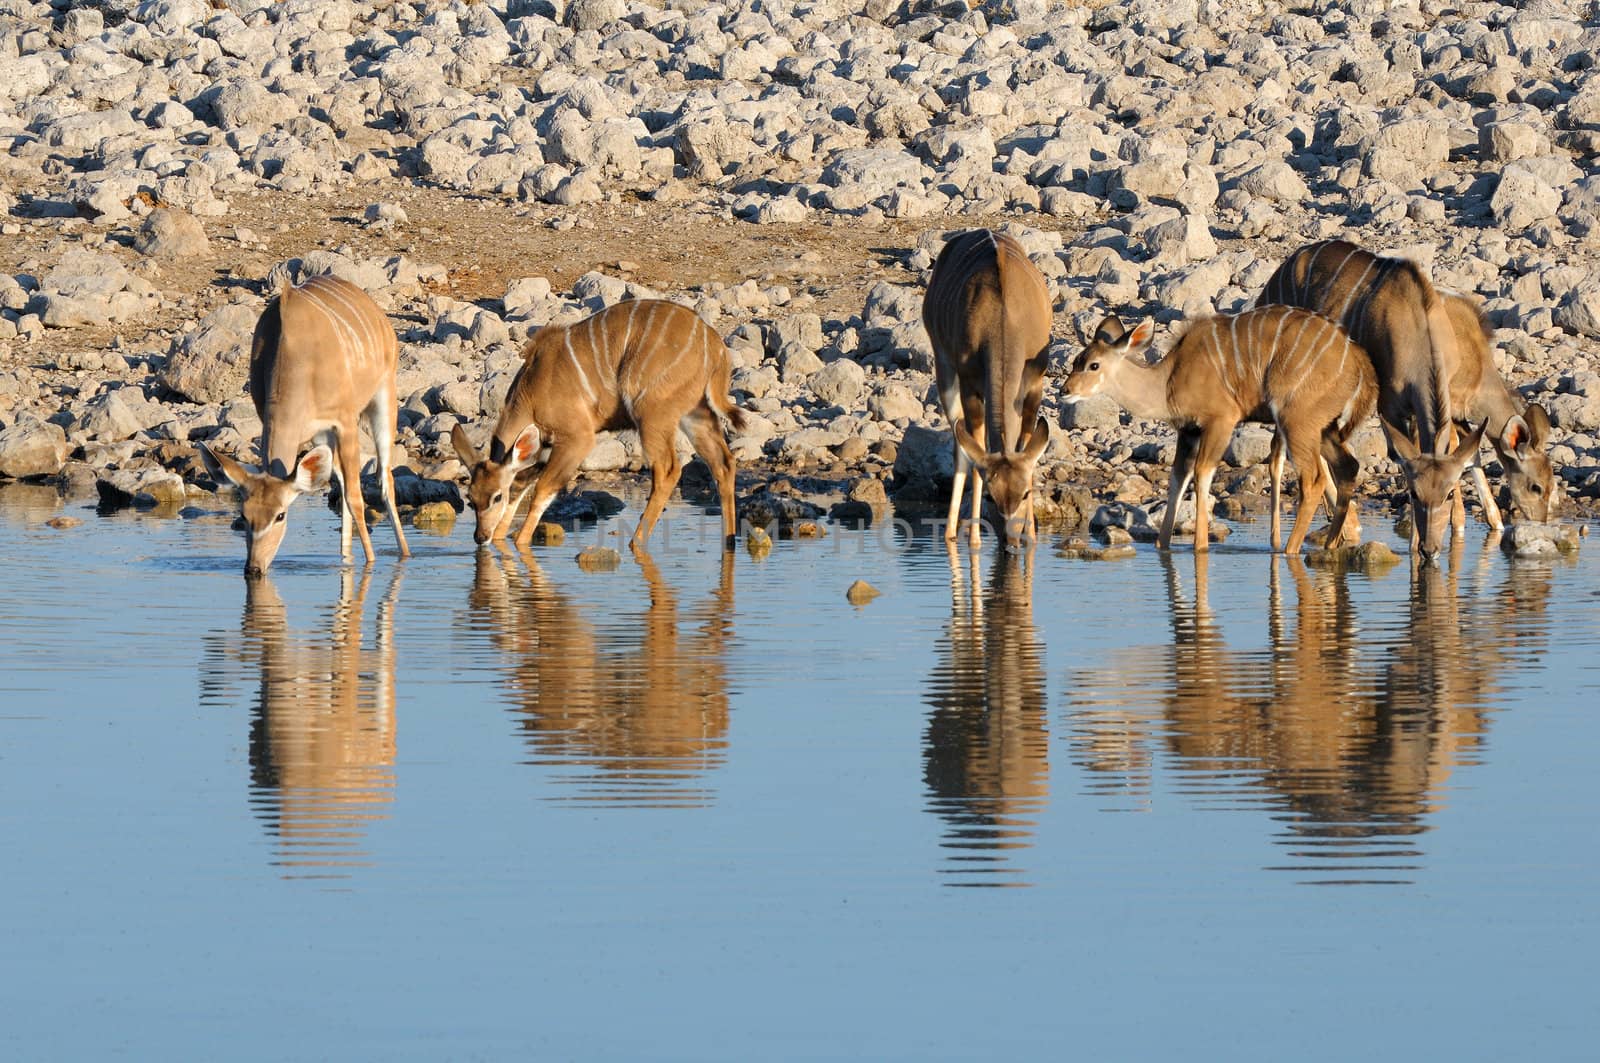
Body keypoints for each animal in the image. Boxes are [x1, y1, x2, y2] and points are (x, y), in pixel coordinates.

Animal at [199, 270, 409, 576]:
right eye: (244, 515)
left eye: (280, 515)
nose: (253, 568)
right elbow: (344, 489)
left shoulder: (345, 421)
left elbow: (356, 498)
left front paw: (370, 563)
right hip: (322, 436)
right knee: (342, 481)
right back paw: (345, 557)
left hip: (384, 396)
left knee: (384, 478)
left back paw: (404, 554)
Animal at [451, 296, 742, 547]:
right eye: (471, 499)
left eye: (495, 496)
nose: (480, 537)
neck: (533, 390)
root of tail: (715, 346)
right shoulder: (543, 450)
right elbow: (520, 486)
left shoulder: (577, 437)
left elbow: (542, 491)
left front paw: (519, 542)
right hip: (695, 412)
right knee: (723, 463)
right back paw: (729, 542)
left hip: (651, 414)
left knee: (668, 469)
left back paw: (635, 543)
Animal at [921, 230, 1056, 547]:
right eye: (992, 499)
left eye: (1025, 493)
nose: (1010, 541)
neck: (1004, 321)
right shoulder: (970, 385)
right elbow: (976, 454)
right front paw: (974, 541)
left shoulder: (1035, 384)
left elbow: (1026, 444)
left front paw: (1031, 535)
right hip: (944, 366)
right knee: (960, 444)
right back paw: (950, 532)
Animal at [1062, 305, 1376, 557]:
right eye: (1076, 360)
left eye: (1094, 365)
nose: (1065, 391)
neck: (1169, 381)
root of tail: (1359, 359)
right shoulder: (1188, 431)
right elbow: (1178, 478)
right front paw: (1163, 545)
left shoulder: (1221, 420)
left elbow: (1203, 473)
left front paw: (1200, 546)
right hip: (1324, 427)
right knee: (1348, 466)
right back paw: (1331, 545)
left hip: (1296, 421)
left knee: (1314, 479)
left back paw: (1289, 549)